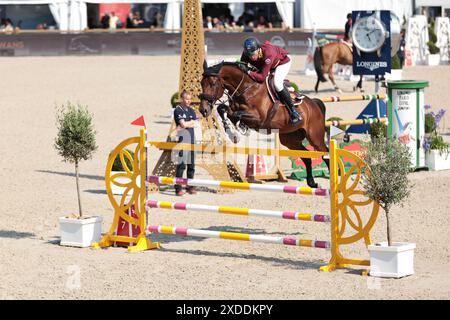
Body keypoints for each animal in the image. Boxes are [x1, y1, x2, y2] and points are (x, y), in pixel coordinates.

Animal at [199, 61, 328, 189]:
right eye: (201, 83)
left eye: (213, 84)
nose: (203, 110)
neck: (246, 89)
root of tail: (314, 104)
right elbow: (222, 109)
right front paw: (234, 133)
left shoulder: (259, 119)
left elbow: (235, 114)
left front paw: (238, 130)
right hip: (290, 140)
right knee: (306, 157)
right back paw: (311, 182)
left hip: (315, 137)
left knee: (325, 153)